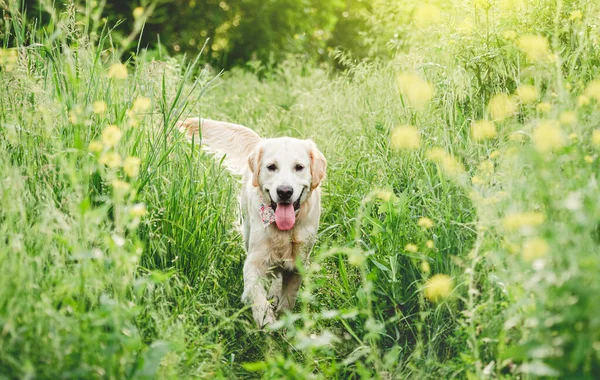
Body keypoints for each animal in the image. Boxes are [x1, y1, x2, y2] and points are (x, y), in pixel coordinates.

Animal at [177, 118, 326, 326]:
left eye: (299, 167)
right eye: (271, 167)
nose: (284, 191)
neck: (284, 231)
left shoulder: (298, 264)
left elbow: (288, 298)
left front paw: (283, 320)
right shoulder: (254, 261)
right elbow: (255, 292)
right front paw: (265, 318)